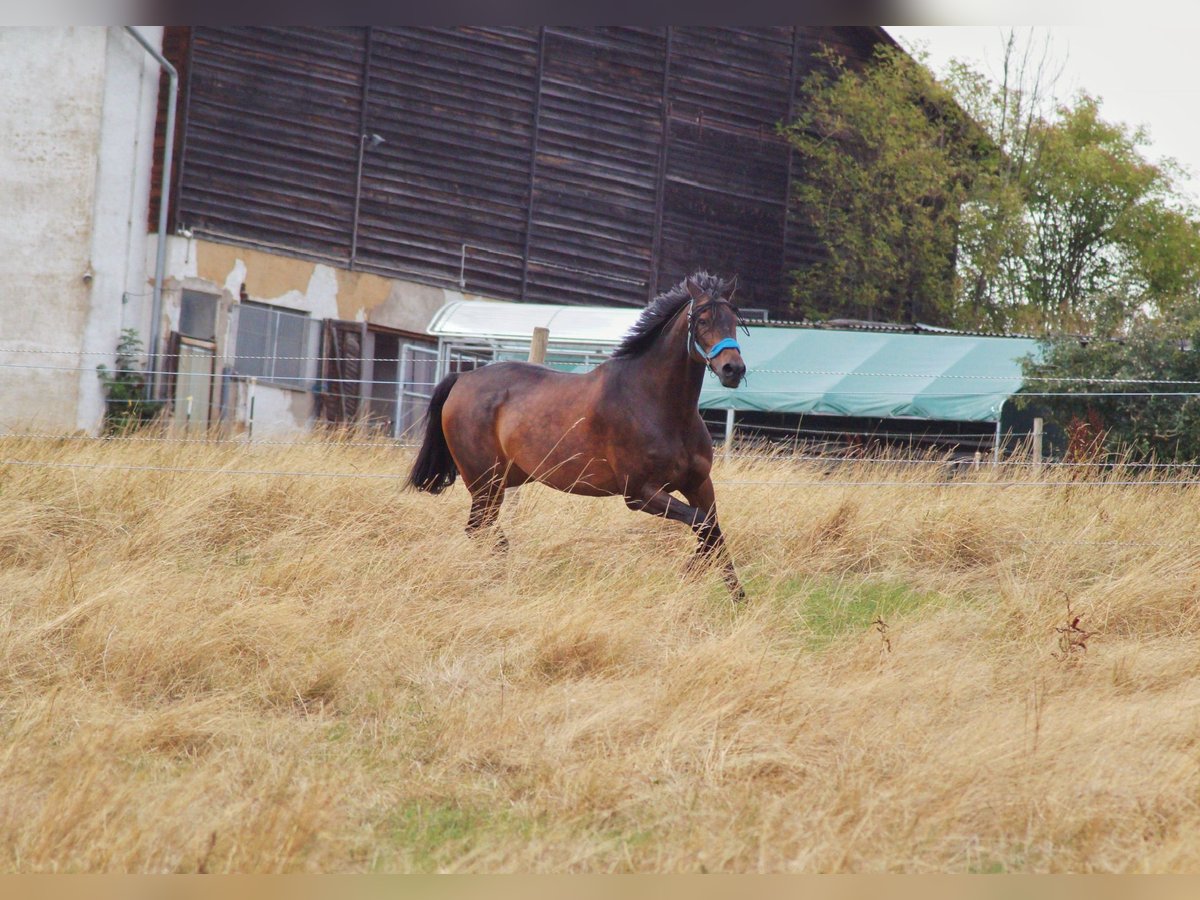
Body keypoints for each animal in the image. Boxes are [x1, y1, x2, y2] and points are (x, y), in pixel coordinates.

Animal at [407, 271, 748, 601]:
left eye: (733, 319)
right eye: (702, 320)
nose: (733, 369)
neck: (658, 405)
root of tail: (462, 378)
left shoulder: (698, 483)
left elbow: (712, 530)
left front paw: (737, 598)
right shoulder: (639, 493)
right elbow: (702, 524)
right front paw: (688, 577)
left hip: (503, 479)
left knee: (483, 530)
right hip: (484, 482)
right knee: (480, 530)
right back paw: (499, 579)